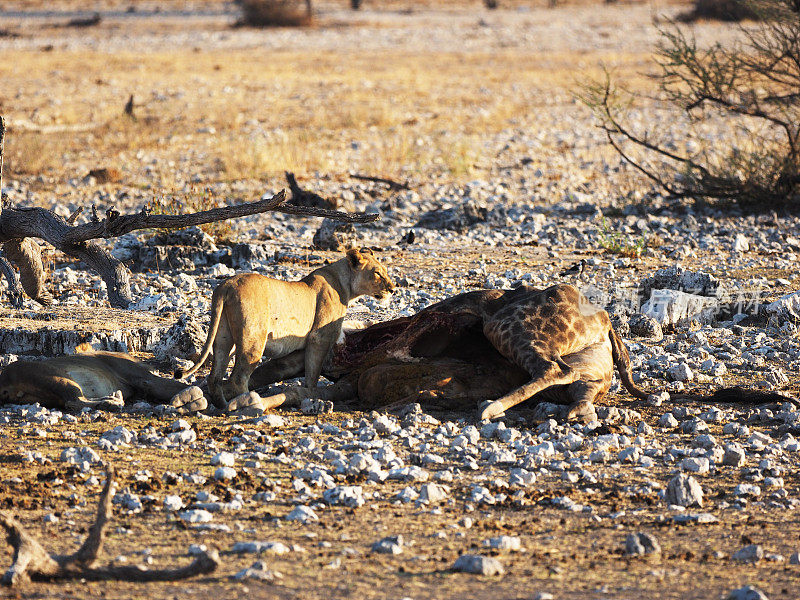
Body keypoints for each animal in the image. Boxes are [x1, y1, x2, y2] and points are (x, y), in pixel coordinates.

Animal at [180, 247, 396, 408]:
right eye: (377, 273)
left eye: (385, 271)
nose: (393, 289)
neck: (345, 284)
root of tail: (226, 285)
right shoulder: (319, 337)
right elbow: (313, 371)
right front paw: (311, 394)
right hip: (253, 340)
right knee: (239, 379)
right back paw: (249, 403)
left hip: (223, 337)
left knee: (214, 377)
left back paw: (222, 405)